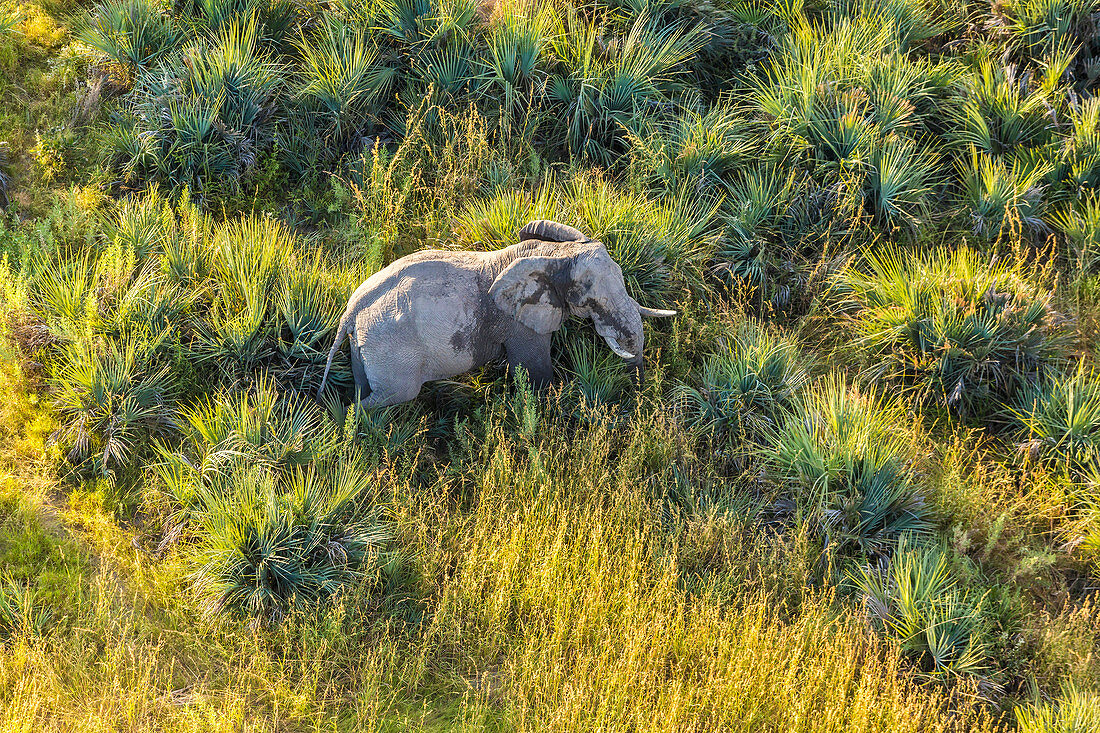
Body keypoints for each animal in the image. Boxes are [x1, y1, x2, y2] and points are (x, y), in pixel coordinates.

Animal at [316, 220, 677, 407]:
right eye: (590, 299)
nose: (639, 393)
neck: (554, 253)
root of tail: (351, 311)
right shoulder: (520, 324)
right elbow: (535, 375)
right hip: (390, 352)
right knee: (393, 395)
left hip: (365, 346)